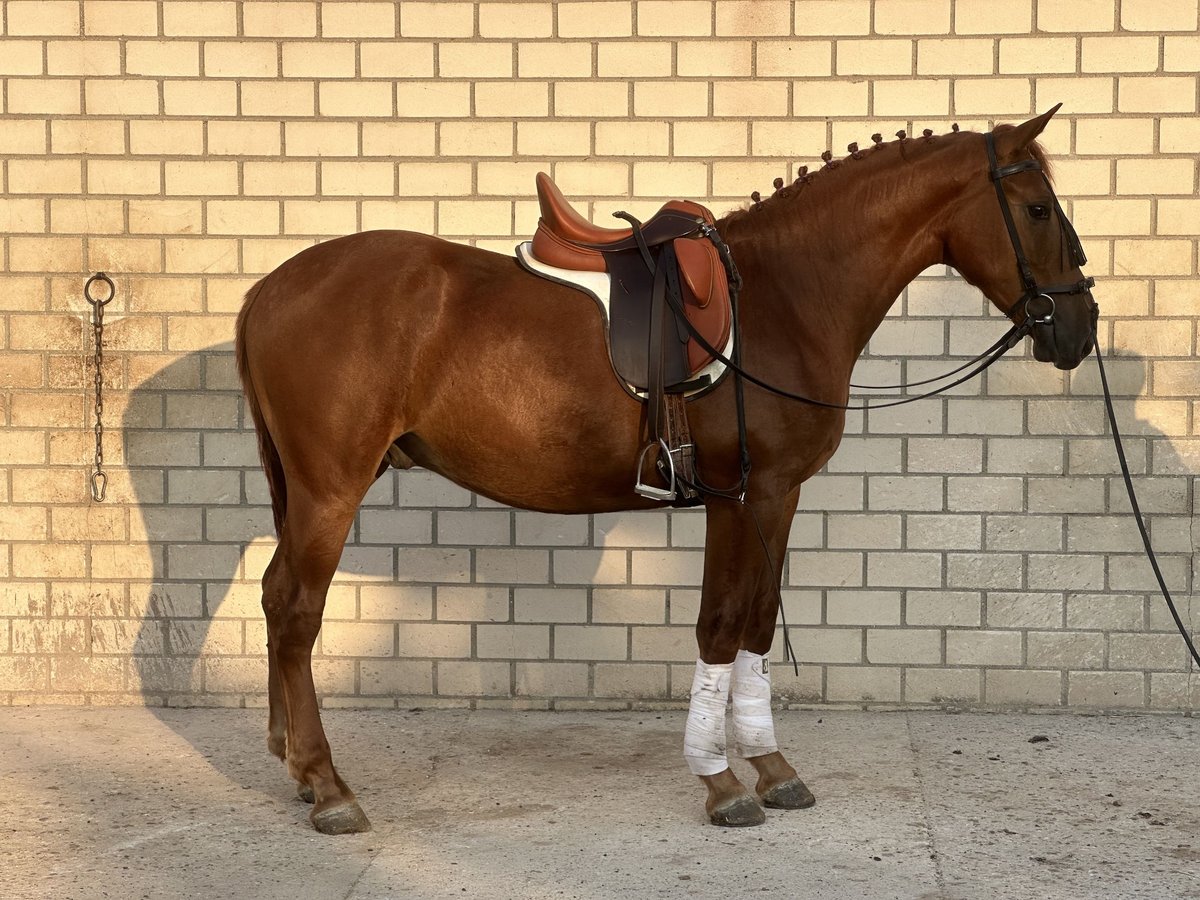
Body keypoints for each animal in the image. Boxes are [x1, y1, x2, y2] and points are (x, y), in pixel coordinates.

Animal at [234, 109, 1099, 835]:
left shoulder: (779, 495)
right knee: (295, 610)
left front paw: (772, 768)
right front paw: (721, 781)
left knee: (278, 601)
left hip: (304, 492)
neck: (787, 293)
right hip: (331, 489)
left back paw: (297, 768)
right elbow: (719, 624)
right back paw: (329, 787)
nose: (1080, 328)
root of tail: (269, 288)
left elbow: (757, 624)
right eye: (1037, 210)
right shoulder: (740, 494)